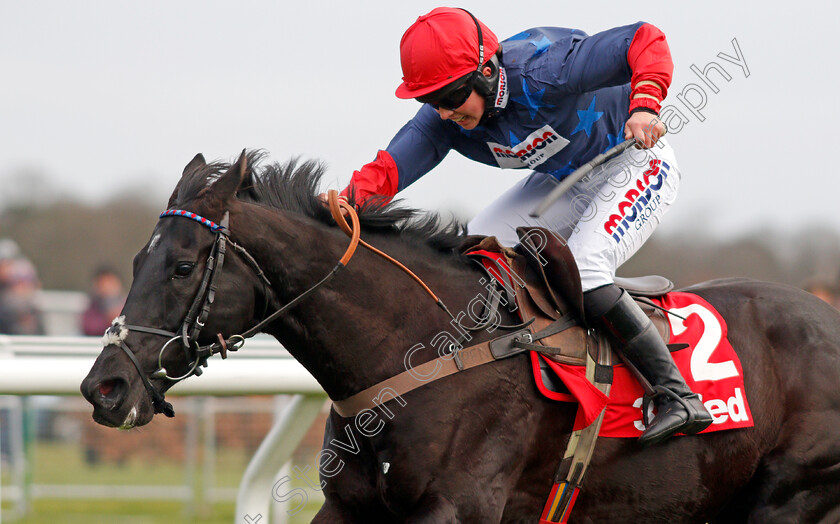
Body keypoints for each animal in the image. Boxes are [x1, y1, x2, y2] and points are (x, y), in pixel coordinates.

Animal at [82, 151, 840, 524]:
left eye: (183, 266)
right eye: (137, 261)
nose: (103, 387)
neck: (423, 349)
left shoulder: (457, 508)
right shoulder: (351, 506)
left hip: (789, 495)